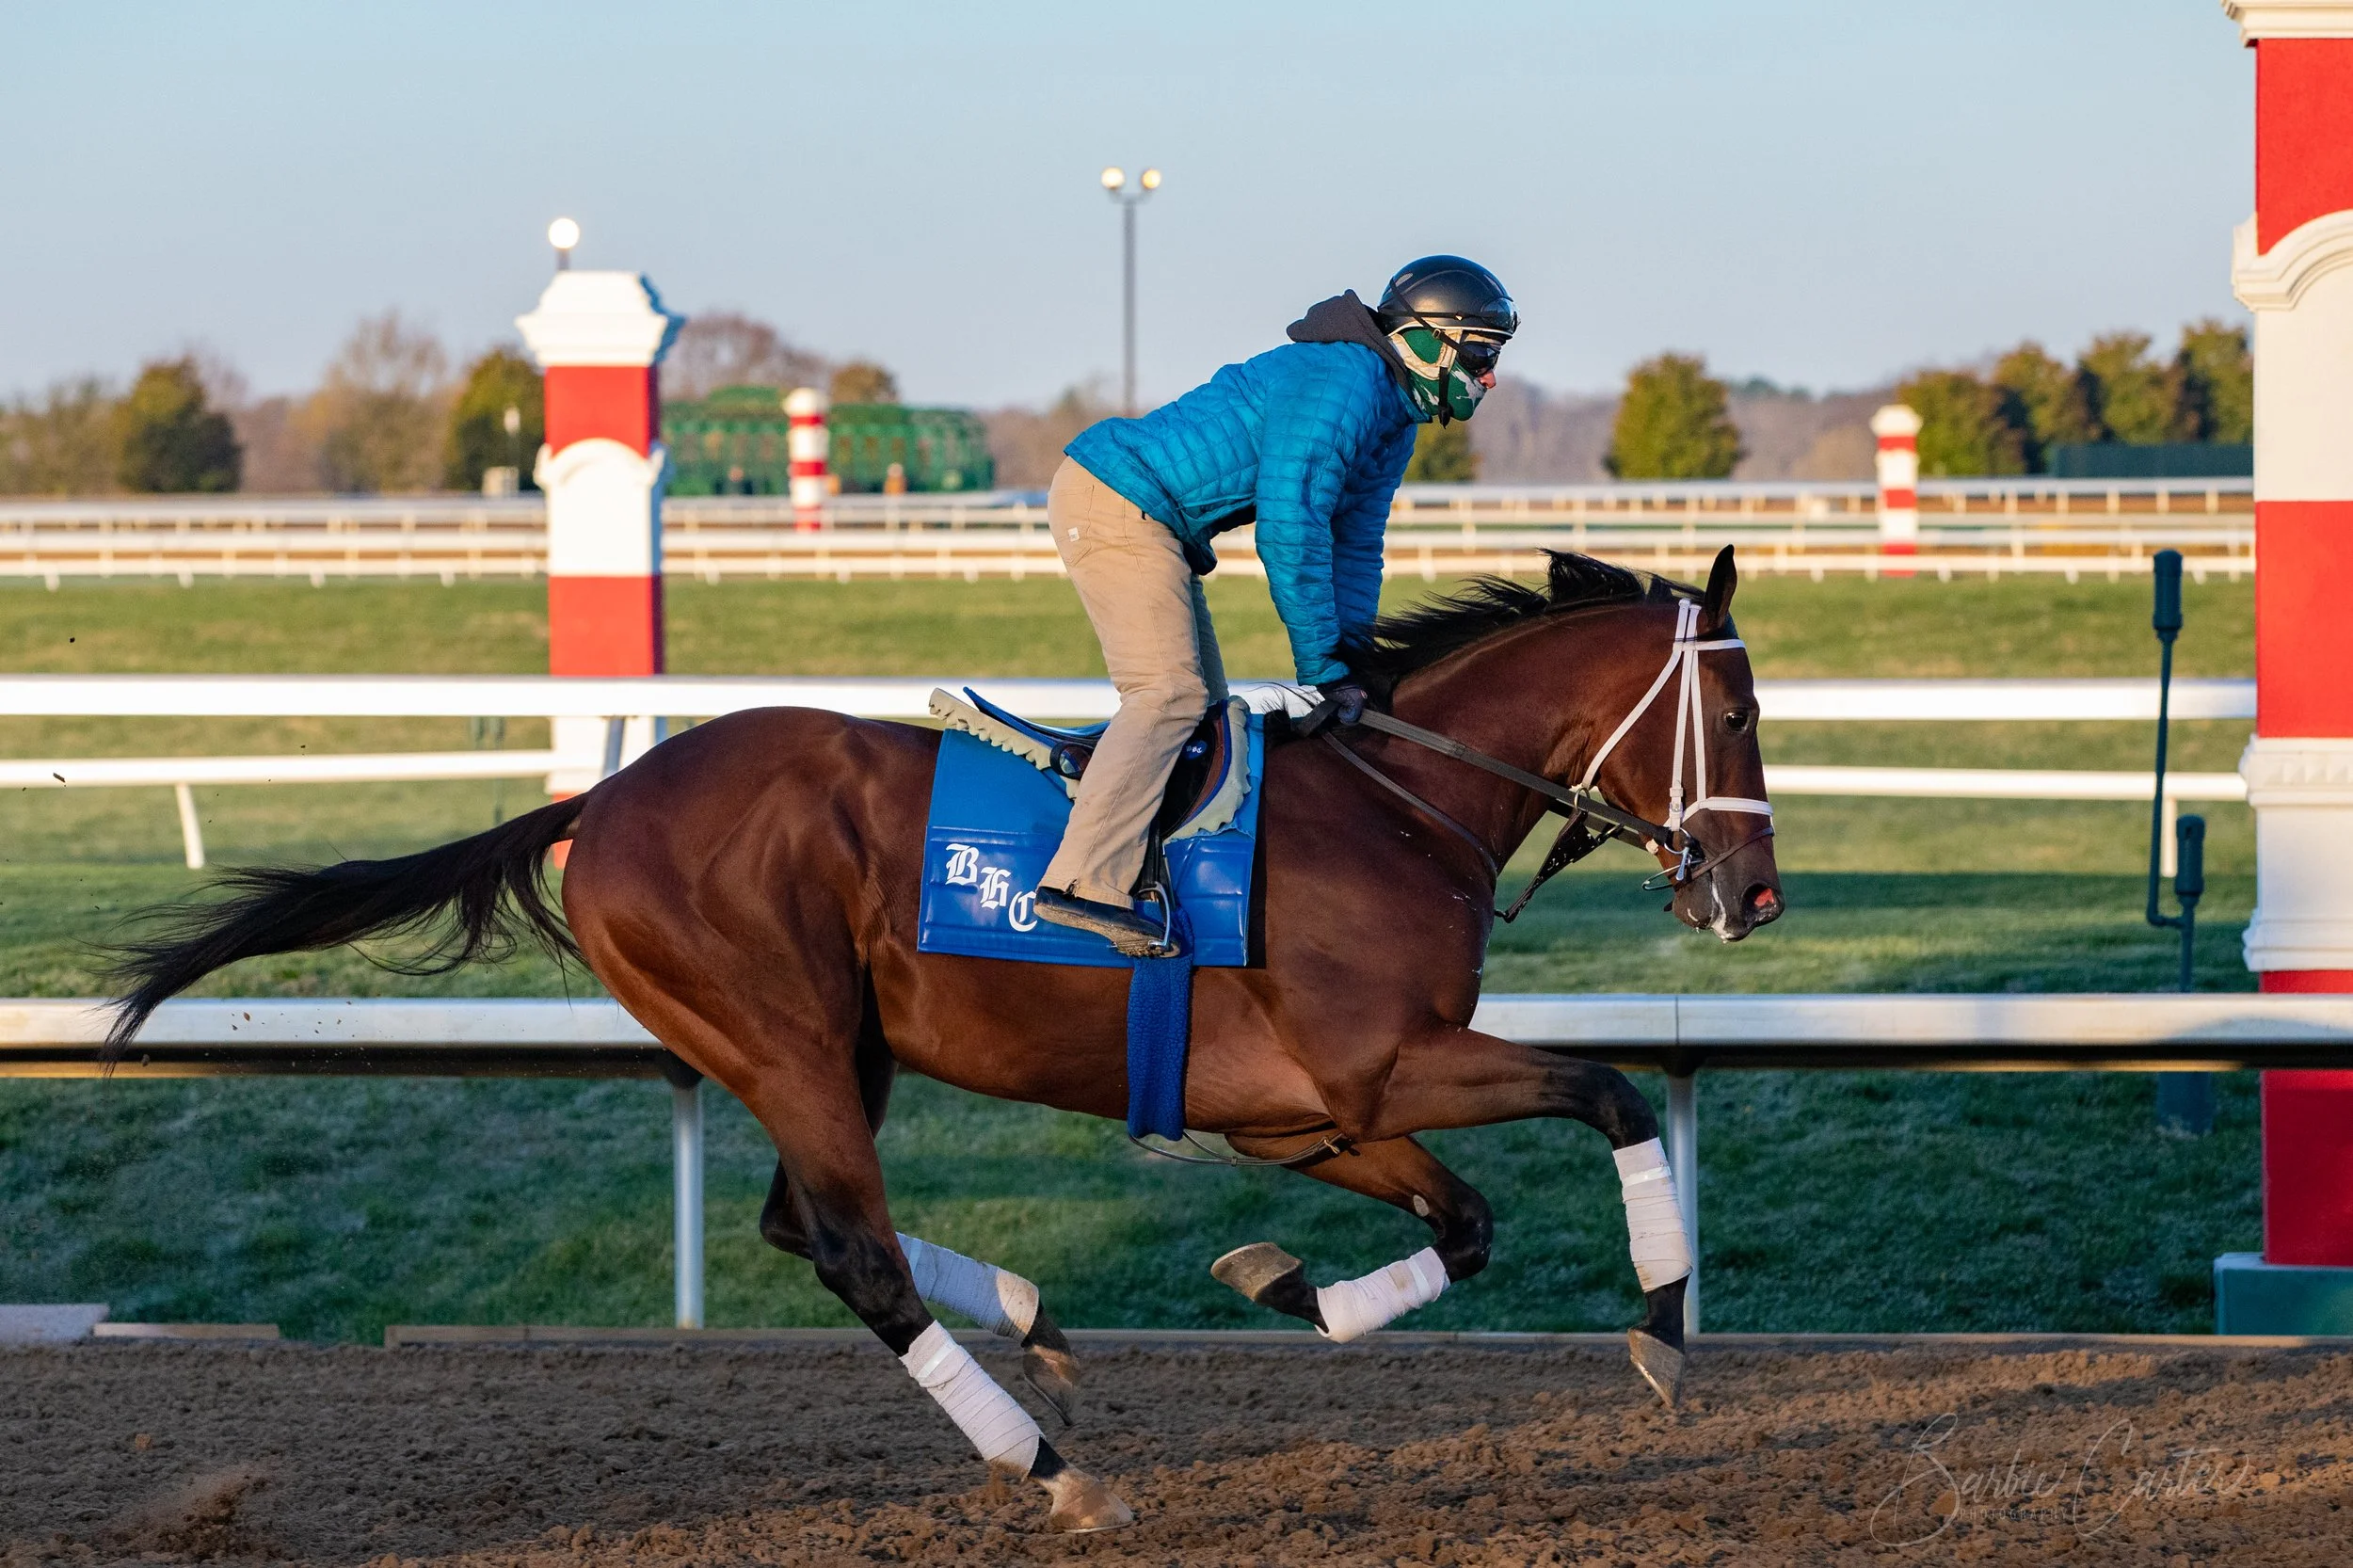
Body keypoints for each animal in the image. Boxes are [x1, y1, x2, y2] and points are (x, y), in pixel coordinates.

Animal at [106, 545, 1782, 1533]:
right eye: (1743, 714)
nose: (1754, 893)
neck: (1398, 803)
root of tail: (604, 799)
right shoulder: (1382, 1062)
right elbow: (1615, 1094)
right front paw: (1659, 1330)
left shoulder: (1309, 1112)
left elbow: (1468, 1216)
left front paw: (1288, 1281)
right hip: (781, 1036)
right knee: (851, 1246)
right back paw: (1050, 1468)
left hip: (833, 1051)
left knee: (809, 1223)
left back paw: (1035, 1321)